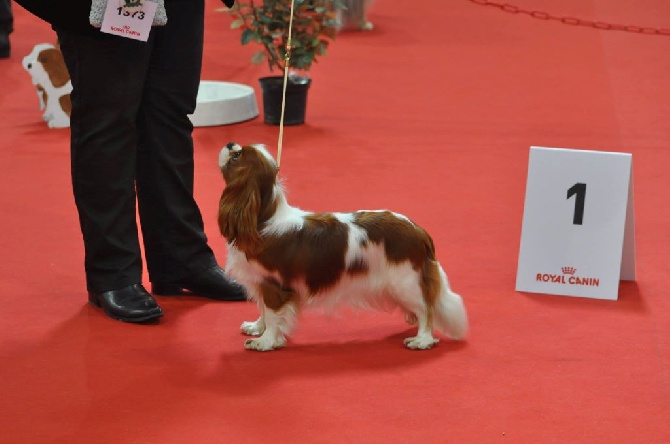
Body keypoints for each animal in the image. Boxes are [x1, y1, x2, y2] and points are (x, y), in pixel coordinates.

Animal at [219, 144, 468, 352]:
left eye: (236, 155)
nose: (230, 143)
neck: (262, 218)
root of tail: (420, 231)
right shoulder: (261, 282)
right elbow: (262, 309)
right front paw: (257, 328)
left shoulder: (274, 286)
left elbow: (272, 314)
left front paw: (266, 341)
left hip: (405, 282)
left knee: (426, 309)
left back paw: (422, 340)